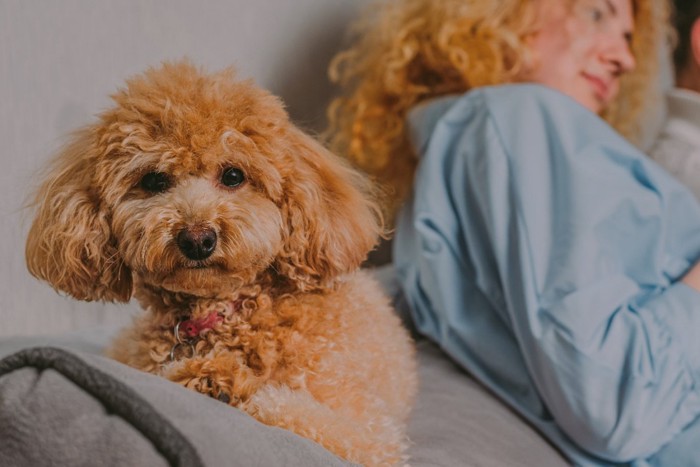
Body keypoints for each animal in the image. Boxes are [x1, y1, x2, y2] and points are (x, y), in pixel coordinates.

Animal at [27, 62, 418, 467]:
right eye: (154, 180)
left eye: (233, 176)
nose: (197, 239)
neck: (228, 312)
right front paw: (211, 377)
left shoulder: (371, 437)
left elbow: (279, 405)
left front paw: (219, 379)